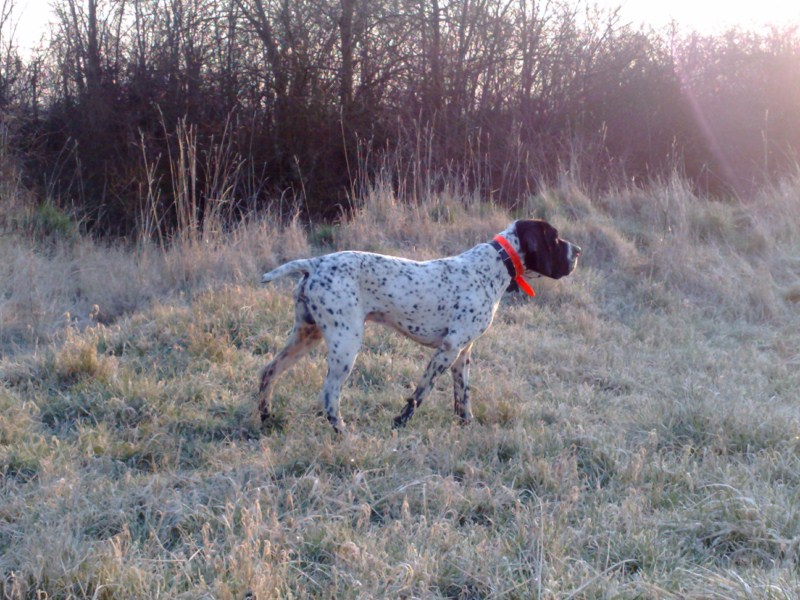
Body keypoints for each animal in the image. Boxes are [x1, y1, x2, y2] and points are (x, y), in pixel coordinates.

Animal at [260, 219, 580, 432]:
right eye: (555, 238)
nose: (577, 250)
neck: (495, 265)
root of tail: (315, 263)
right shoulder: (448, 349)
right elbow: (420, 393)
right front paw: (399, 423)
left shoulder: (463, 353)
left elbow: (463, 396)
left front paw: (467, 425)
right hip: (345, 343)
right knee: (329, 394)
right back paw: (343, 433)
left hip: (306, 335)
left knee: (268, 372)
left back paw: (266, 418)